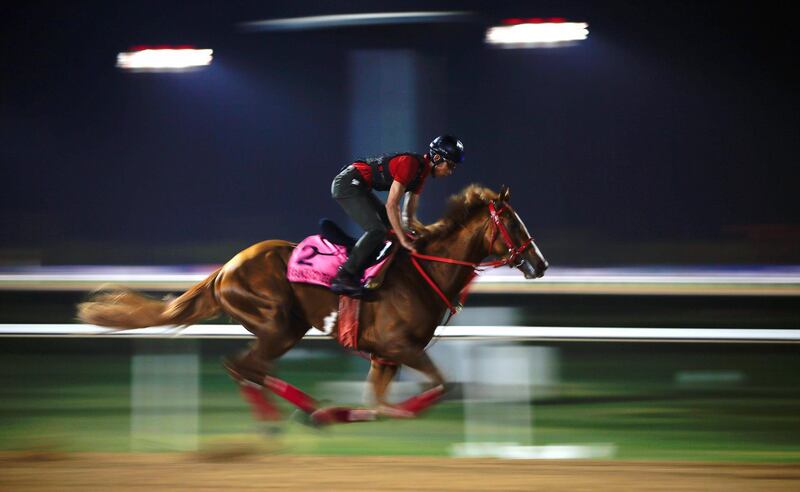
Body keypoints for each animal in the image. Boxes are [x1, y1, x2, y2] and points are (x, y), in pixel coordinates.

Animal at [76, 184, 552, 422]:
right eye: (512, 222)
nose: (540, 263)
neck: (424, 272)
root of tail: (225, 268)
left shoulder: (384, 357)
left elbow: (380, 402)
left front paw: (362, 412)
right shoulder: (399, 347)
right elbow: (441, 386)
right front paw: (369, 413)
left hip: (281, 327)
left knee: (250, 369)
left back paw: (312, 411)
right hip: (280, 324)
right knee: (243, 367)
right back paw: (296, 416)